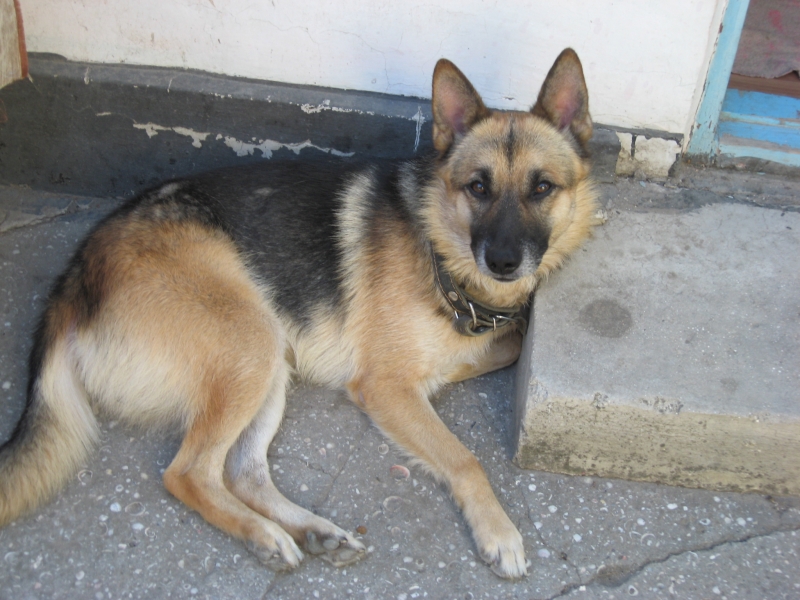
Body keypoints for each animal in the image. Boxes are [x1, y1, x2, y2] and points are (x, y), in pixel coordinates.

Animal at [0, 48, 597, 579]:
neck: (440, 249)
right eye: (478, 187)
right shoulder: (383, 386)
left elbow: (508, 342)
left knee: (242, 473)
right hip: (251, 342)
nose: (503, 261)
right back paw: (265, 536)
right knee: (188, 473)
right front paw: (500, 533)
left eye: (542, 188)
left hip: (269, 359)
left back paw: (313, 530)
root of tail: (74, 276)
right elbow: (464, 458)